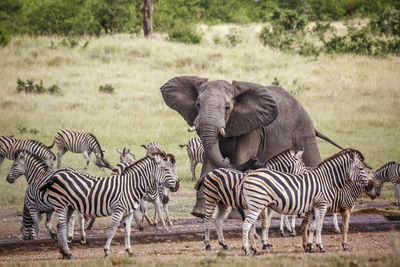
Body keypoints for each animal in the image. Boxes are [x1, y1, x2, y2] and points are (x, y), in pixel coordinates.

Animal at [38, 153, 179, 260]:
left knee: (59, 226)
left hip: (69, 206)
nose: (177, 186)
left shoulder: (128, 213)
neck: (131, 186)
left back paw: (63, 252)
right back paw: (68, 253)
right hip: (60, 204)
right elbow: (112, 231)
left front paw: (129, 251)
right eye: (166, 170)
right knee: (62, 227)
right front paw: (106, 251)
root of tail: (56, 175)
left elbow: (127, 232)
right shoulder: (118, 211)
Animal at [161, 75, 342, 218]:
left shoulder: (253, 128)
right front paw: (199, 213)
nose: (257, 159)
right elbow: (209, 161)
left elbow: (240, 157)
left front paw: (234, 216)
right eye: (198, 104)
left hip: (304, 131)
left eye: (227, 107)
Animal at [239, 150, 374, 256]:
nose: (371, 185)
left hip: (253, 206)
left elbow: (312, 227)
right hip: (257, 205)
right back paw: (247, 250)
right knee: (246, 225)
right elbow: (319, 226)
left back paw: (255, 249)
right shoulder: (322, 205)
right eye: (361, 168)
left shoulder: (314, 207)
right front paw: (321, 247)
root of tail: (247, 176)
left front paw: (311, 247)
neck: (327, 180)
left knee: (250, 226)